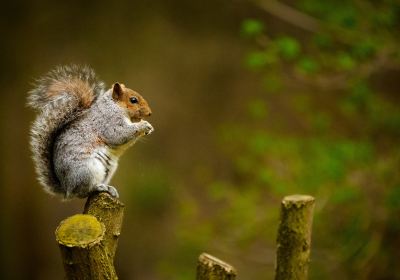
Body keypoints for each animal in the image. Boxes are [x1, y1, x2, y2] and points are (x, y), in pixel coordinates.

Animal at [27, 64, 154, 198]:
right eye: (133, 100)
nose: (149, 113)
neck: (114, 106)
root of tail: (67, 188)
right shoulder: (109, 122)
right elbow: (119, 134)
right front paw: (144, 125)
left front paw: (149, 128)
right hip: (88, 170)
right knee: (83, 191)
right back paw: (99, 187)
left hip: (108, 170)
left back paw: (110, 189)